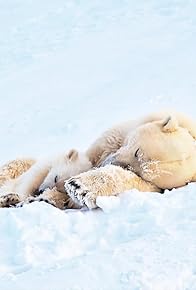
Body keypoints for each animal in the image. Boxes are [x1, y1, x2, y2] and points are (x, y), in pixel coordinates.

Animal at [65, 114, 196, 210]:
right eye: (137, 152)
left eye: (144, 176)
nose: (112, 163)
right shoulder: (116, 136)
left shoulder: (157, 187)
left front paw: (78, 188)